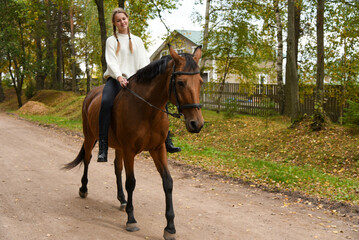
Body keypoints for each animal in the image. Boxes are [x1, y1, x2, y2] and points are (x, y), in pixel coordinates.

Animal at [64, 45, 205, 240]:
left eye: (200, 81)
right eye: (181, 83)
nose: (196, 124)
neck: (147, 110)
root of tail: (90, 94)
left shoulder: (158, 149)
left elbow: (168, 182)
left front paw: (170, 228)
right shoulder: (130, 150)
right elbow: (131, 182)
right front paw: (131, 220)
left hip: (118, 147)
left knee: (117, 168)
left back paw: (122, 199)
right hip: (90, 137)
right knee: (87, 159)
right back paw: (84, 189)